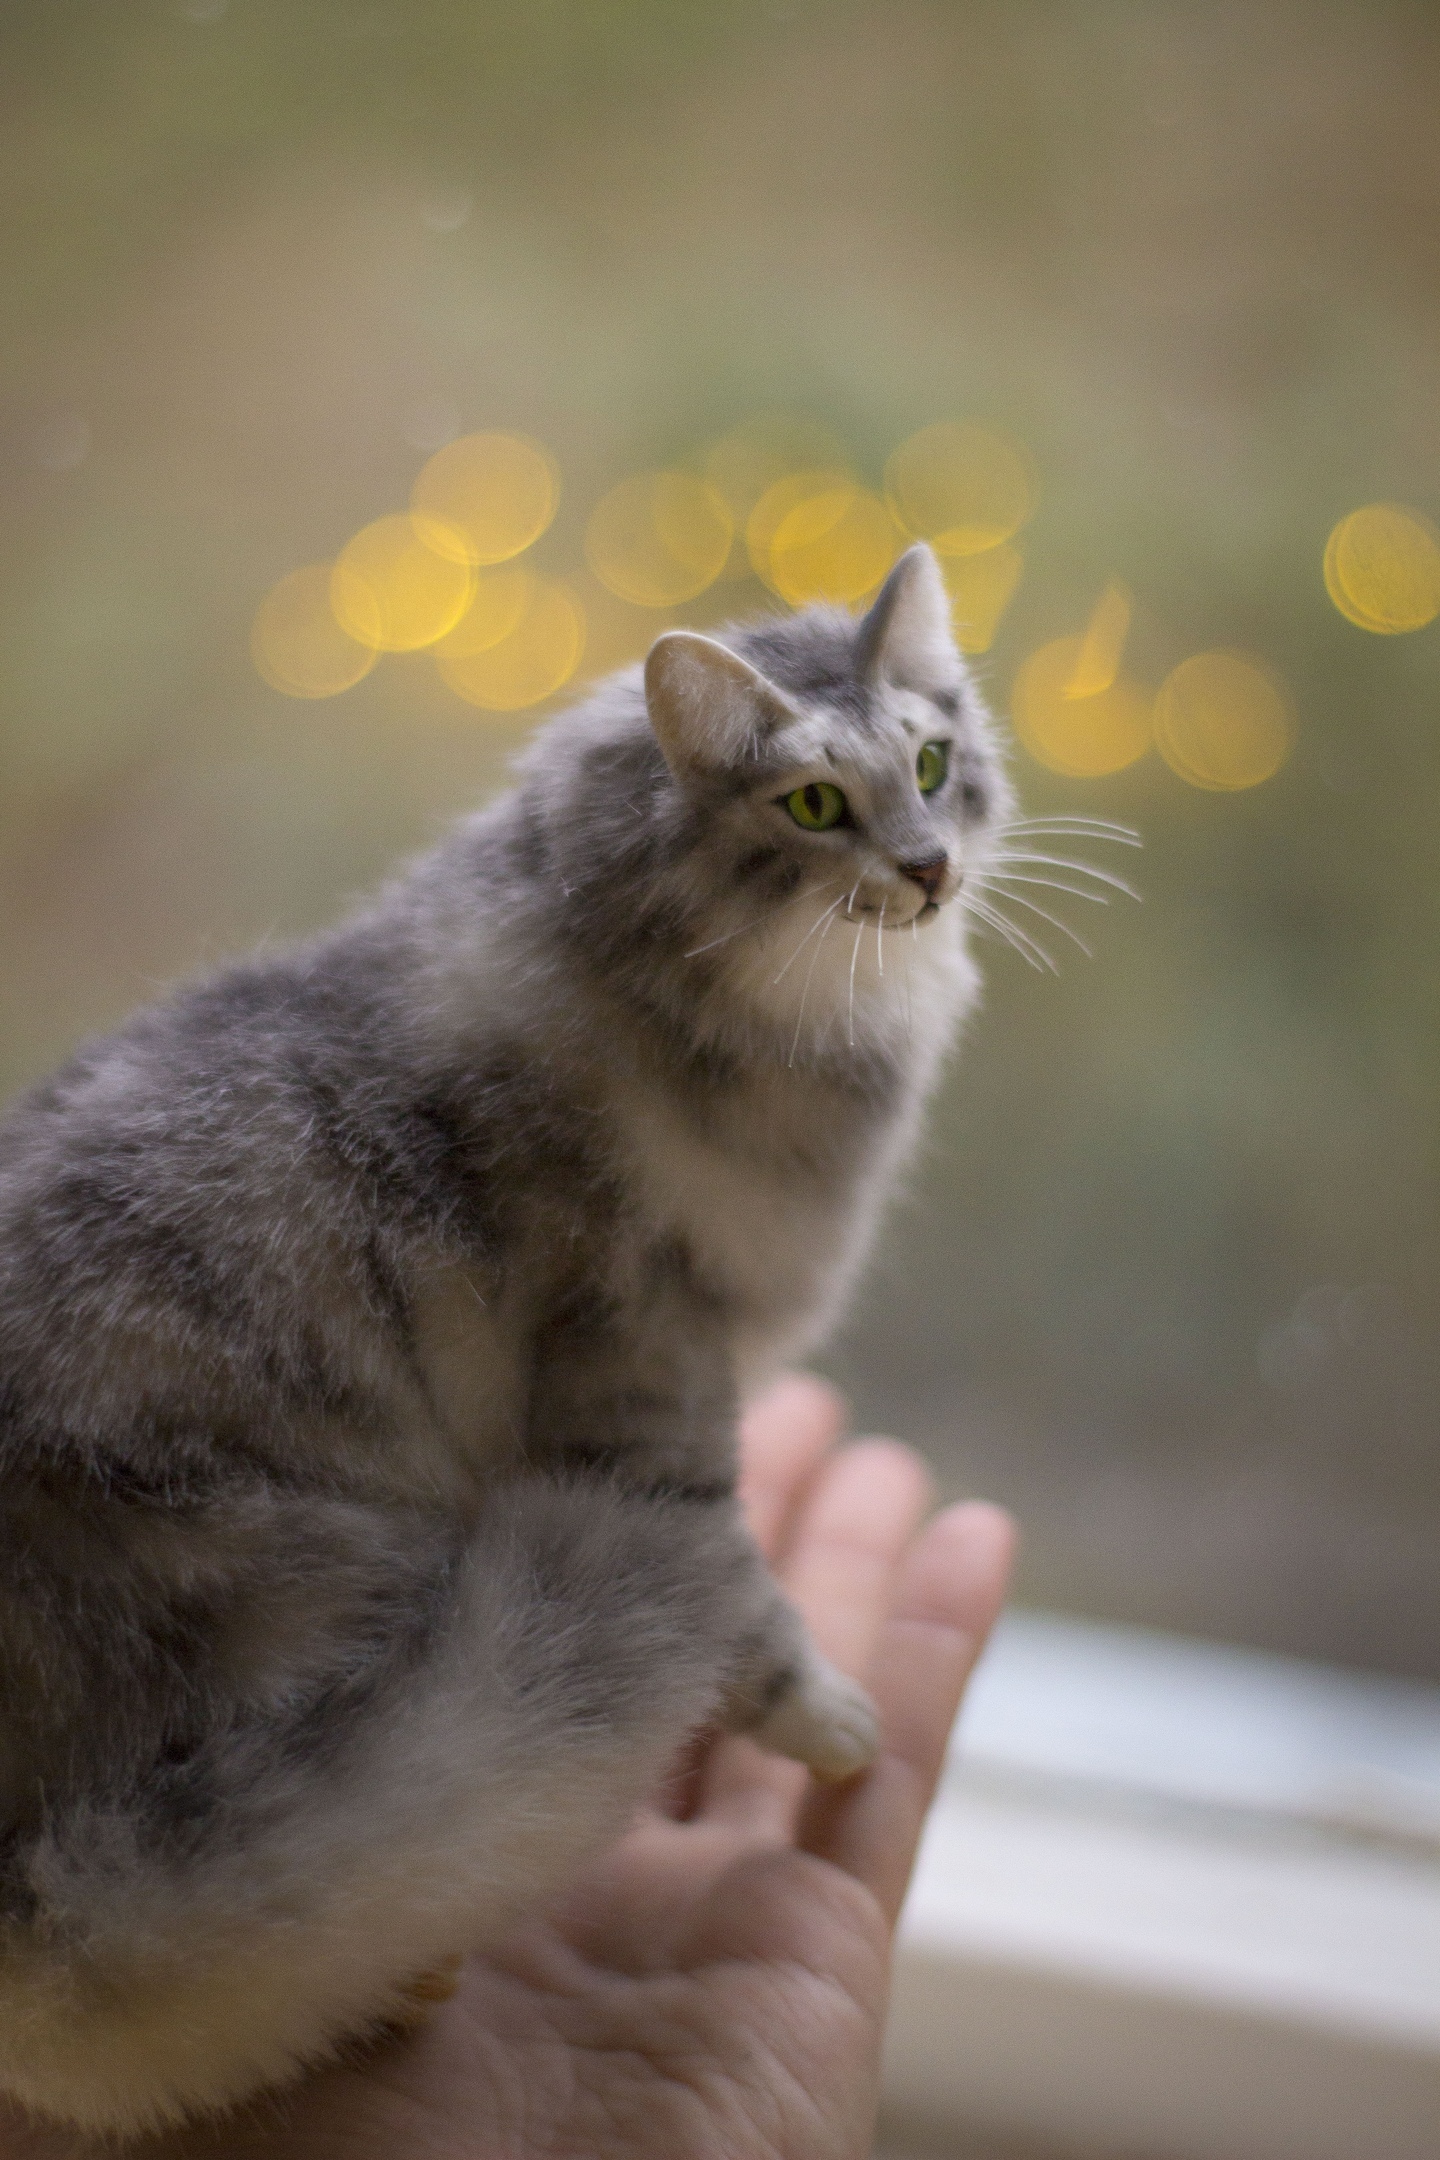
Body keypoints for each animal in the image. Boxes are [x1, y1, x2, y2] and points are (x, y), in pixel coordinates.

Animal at [0, 535, 1014, 2125]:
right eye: (812, 804)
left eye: (931, 760)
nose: (928, 869)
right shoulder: (650, 1389)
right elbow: (749, 1601)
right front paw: (832, 1725)